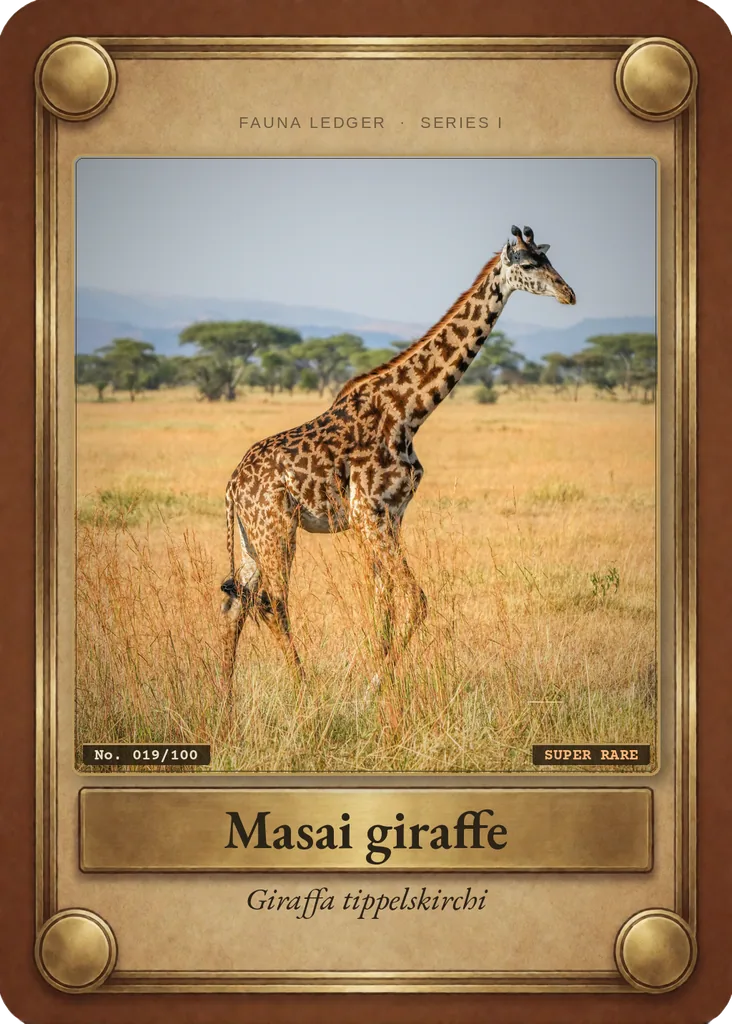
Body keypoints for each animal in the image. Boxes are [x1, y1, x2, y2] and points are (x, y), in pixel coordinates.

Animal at [220, 225, 576, 681]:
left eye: (549, 260)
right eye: (530, 265)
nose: (568, 293)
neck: (408, 412)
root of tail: (233, 485)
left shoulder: (391, 516)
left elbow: (383, 605)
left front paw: (382, 679)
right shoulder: (367, 514)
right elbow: (415, 601)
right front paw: (378, 679)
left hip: (250, 536)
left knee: (236, 605)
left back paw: (225, 694)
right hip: (277, 528)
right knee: (273, 602)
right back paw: (304, 688)